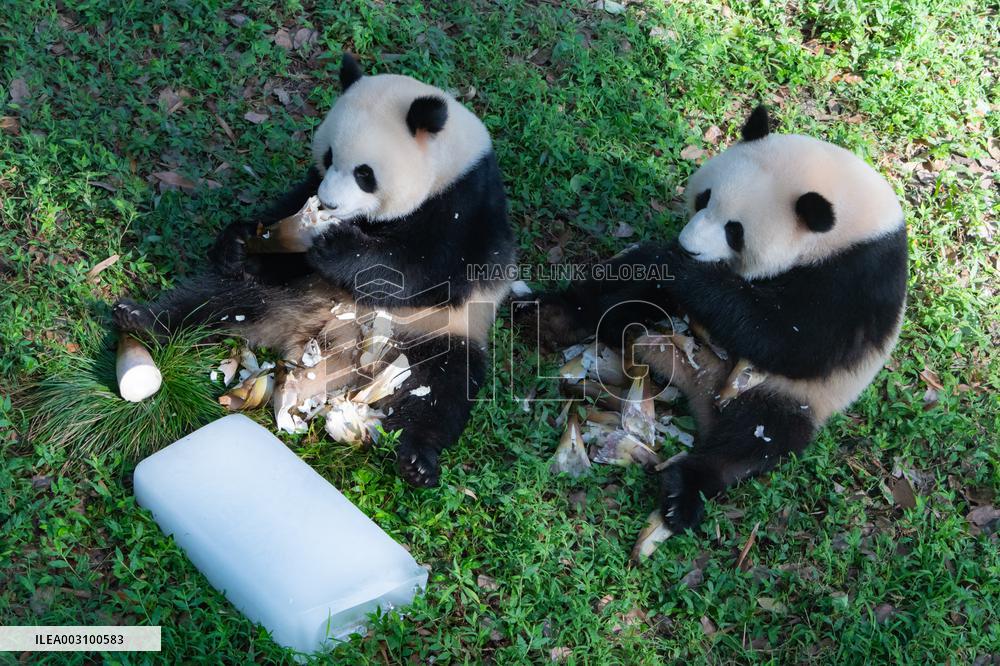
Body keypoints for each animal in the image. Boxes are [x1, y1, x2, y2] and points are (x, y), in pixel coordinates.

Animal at [114, 53, 516, 487]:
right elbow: (287, 220)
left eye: (364, 173)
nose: (330, 204)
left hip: (429, 334)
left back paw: (417, 460)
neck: (448, 164)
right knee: (216, 299)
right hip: (287, 292)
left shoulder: (468, 208)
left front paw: (336, 247)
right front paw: (239, 242)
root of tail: (319, 353)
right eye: (328, 157)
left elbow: (424, 270)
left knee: (443, 386)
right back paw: (140, 318)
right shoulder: (312, 190)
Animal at [538, 105, 908, 536]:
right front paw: (663, 261)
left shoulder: (858, 277)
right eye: (704, 199)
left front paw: (679, 267)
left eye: (735, 231)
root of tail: (697, 384)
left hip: (781, 394)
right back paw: (555, 318)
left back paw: (683, 492)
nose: (687, 248)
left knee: (752, 441)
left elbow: (794, 340)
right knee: (627, 302)